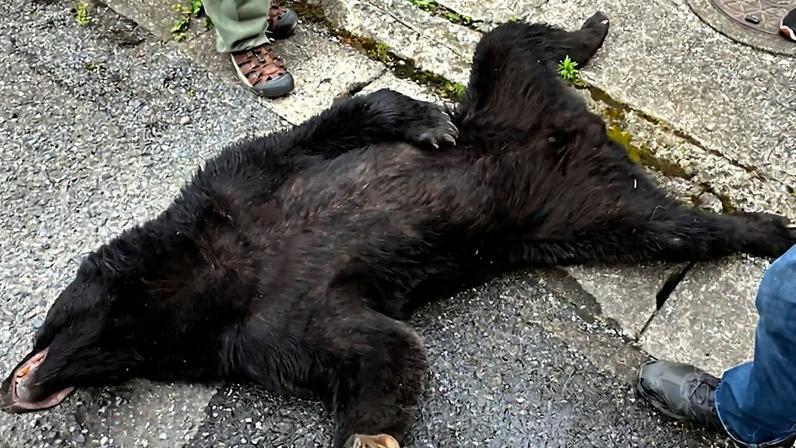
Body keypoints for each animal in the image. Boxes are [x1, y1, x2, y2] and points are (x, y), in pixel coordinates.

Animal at [2, 12, 794, 448]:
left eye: (48, 318)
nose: (19, 386)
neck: (200, 279)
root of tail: (584, 132)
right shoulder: (264, 331)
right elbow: (376, 349)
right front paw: (369, 431)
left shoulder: (237, 183)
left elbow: (343, 120)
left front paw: (429, 123)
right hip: (585, 209)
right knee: (671, 226)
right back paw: (763, 228)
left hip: (508, 98)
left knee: (508, 38)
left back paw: (593, 33)